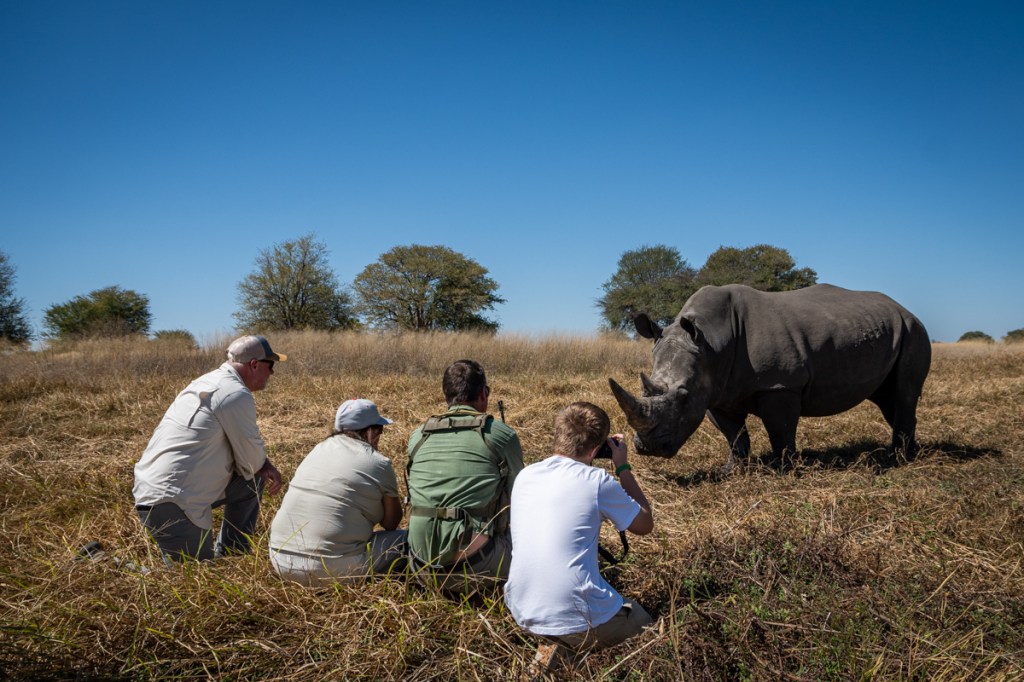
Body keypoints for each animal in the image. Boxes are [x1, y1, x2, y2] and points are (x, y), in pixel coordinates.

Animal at [609, 284, 931, 472]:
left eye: (683, 396)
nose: (649, 450)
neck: (710, 342)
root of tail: (904, 308)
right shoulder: (716, 391)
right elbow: (734, 434)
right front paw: (732, 470)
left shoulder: (779, 385)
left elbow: (780, 428)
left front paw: (785, 468)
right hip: (890, 329)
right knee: (888, 399)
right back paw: (909, 453)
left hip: (914, 331)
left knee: (903, 393)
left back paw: (896, 459)